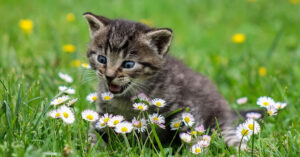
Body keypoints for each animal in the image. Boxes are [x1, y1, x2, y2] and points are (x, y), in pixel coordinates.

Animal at [83, 11, 243, 147]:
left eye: (128, 64)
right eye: (102, 59)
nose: (109, 76)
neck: (127, 98)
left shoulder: (186, 108)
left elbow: (191, 134)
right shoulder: (103, 111)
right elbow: (95, 131)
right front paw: (92, 146)